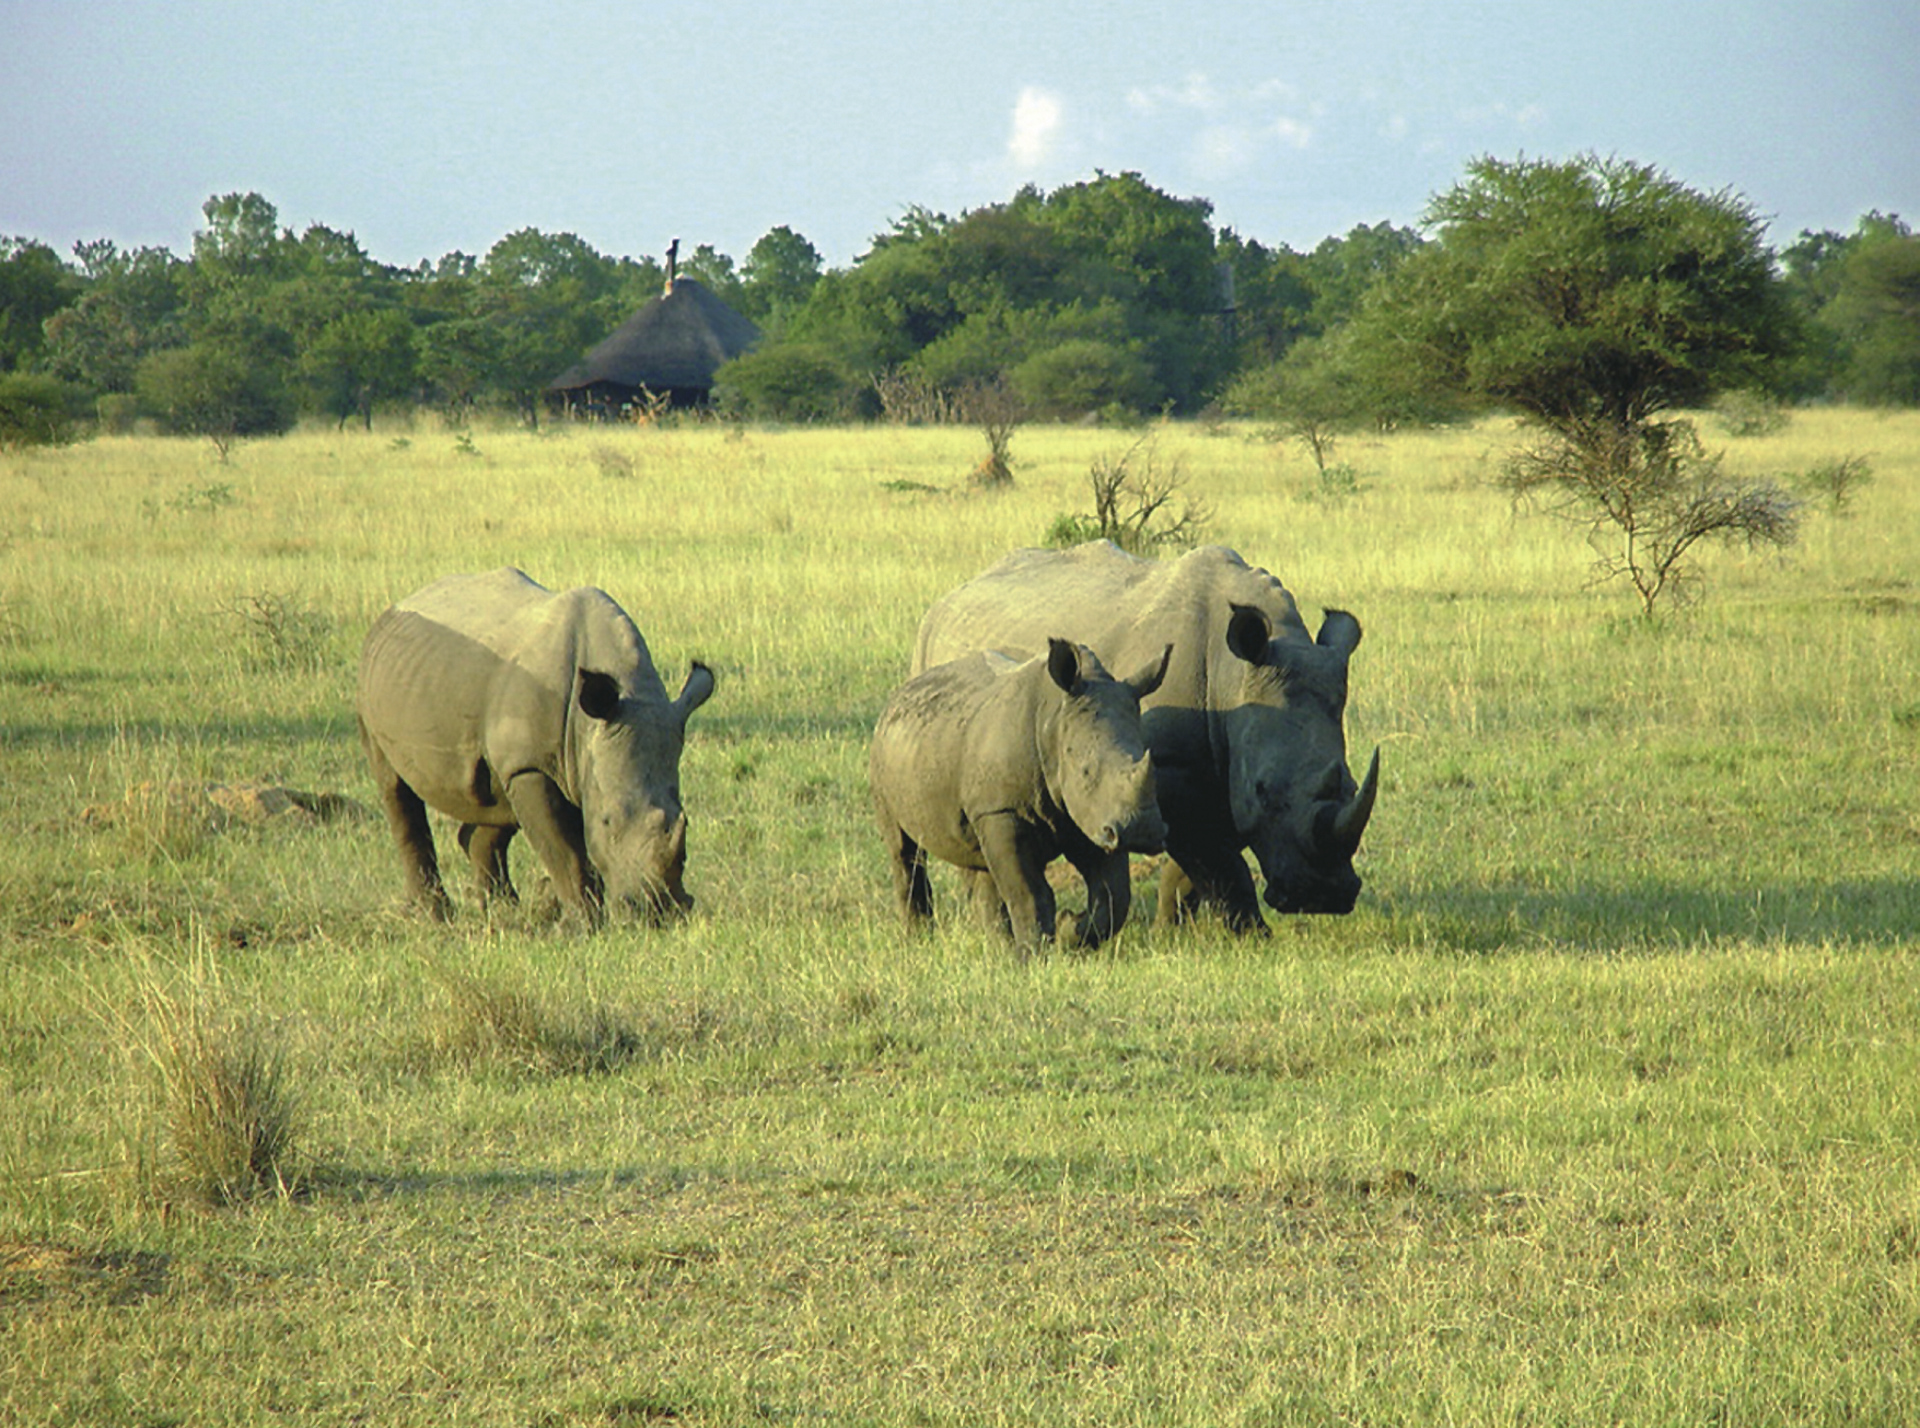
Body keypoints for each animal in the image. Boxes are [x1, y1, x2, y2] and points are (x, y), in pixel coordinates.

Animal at [356, 568, 714, 925]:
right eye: (607, 821)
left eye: (685, 824)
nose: (659, 913)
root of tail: (395, 607)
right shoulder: (530, 765)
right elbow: (564, 849)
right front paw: (581, 924)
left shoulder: (553, 760)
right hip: (373, 680)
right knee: (396, 790)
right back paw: (435, 914)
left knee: (495, 800)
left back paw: (504, 909)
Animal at [870, 638, 1172, 953]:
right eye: (1086, 772)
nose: (1142, 831)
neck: (1053, 720)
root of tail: (900, 692)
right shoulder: (1002, 809)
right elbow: (1029, 892)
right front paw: (1034, 955)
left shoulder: (1095, 817)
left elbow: (1114, 896)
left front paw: (1068, 930)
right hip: (883, 754)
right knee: (903, 850)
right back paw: (917, 941)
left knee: (977, 859)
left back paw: (997, 947)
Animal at [914, 541, 1377, 930]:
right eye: (1262, 791)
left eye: (1352, 784)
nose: (1322, 897)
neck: (1235, 676)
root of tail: (948, 598)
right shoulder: (1171, 767)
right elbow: (1219, 864)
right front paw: (1250, 936)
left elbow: (1195, 864)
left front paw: (1171, 930)